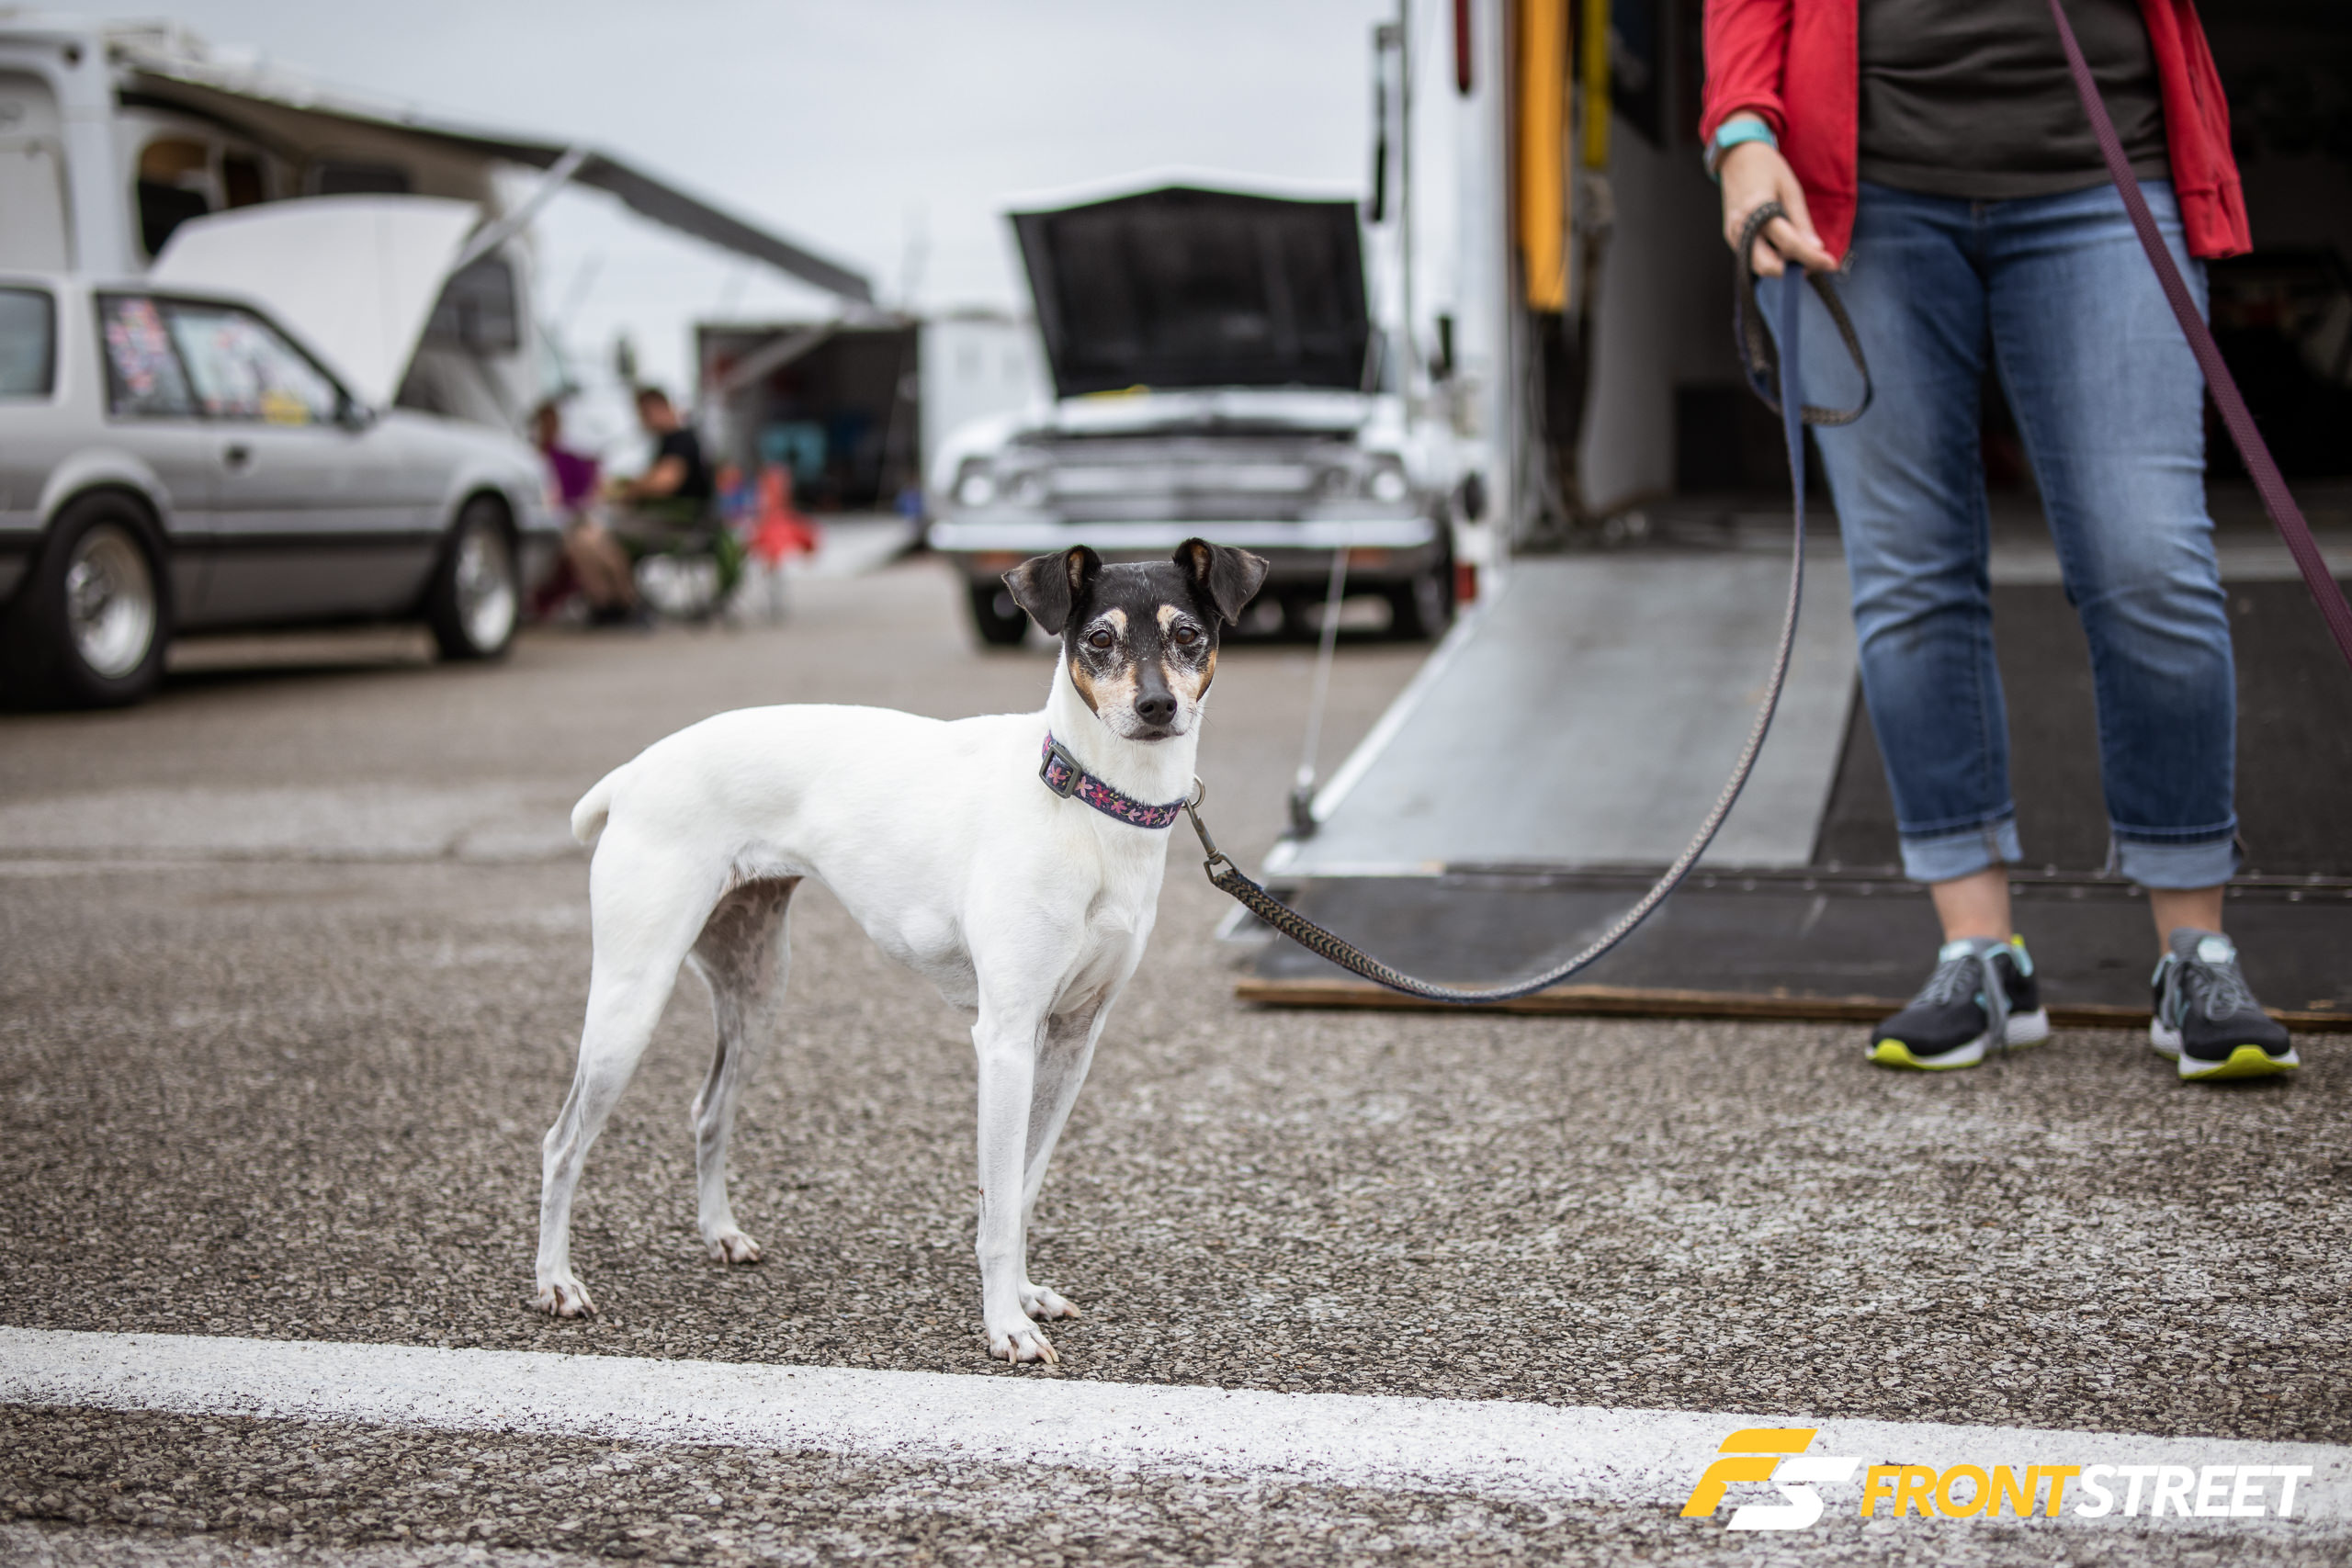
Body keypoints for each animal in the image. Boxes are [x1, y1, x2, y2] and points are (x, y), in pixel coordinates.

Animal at [535, 538, 1269, 1363]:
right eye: (1100, 639)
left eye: (1188, 634)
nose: (1156, 708)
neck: (1086, 800)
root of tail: (636, 771)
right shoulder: (1005, 1039)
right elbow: (998, 1208)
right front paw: (1006, 1325)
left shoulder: (1072, 1041)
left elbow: (1020, 1190)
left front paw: (1024, 1297)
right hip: (629, 1003)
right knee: (562, 1142)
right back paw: (556, 1281)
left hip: (755, 992)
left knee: (708, 1109)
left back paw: (721, 1233)